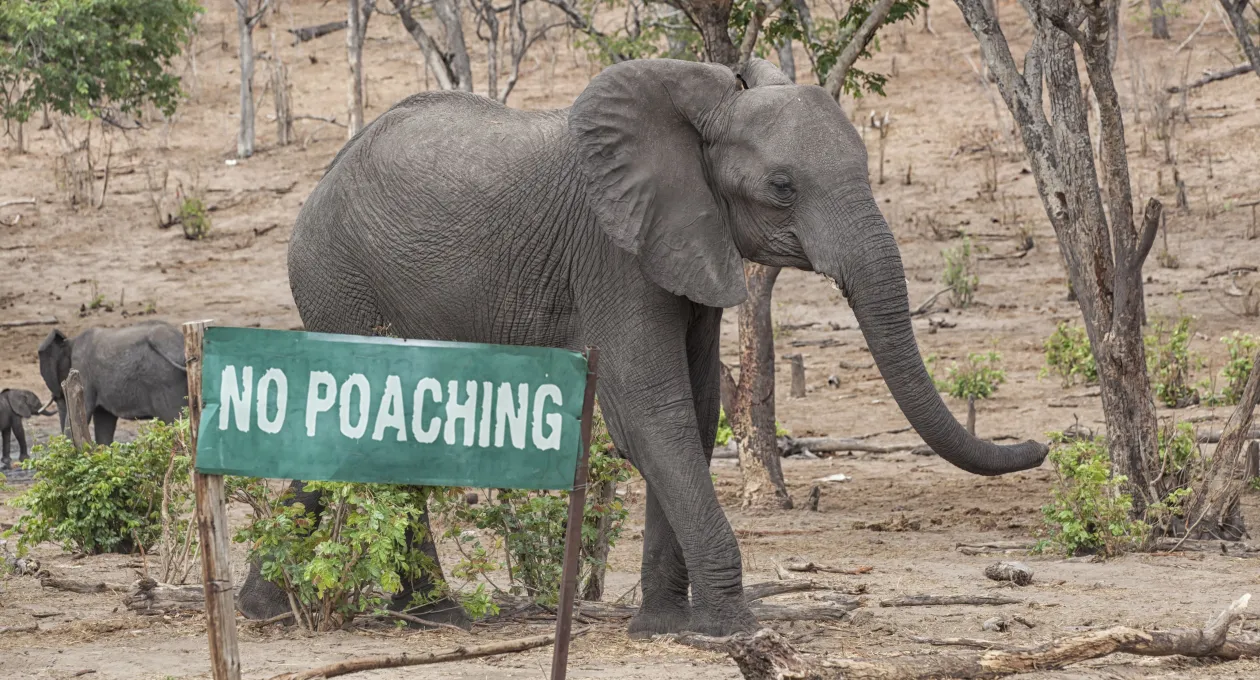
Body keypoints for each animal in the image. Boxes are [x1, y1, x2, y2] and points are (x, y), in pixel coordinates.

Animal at [272, 57, 1048, 636]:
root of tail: (321, 180)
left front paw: (665, 625)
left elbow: (697, 412)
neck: (701, 112)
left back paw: (371, 612)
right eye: (782, 187)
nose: (1041, 446)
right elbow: (654, 410)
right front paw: (732, 627)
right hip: (340, 278)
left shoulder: (687, 244)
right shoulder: (611, 250)